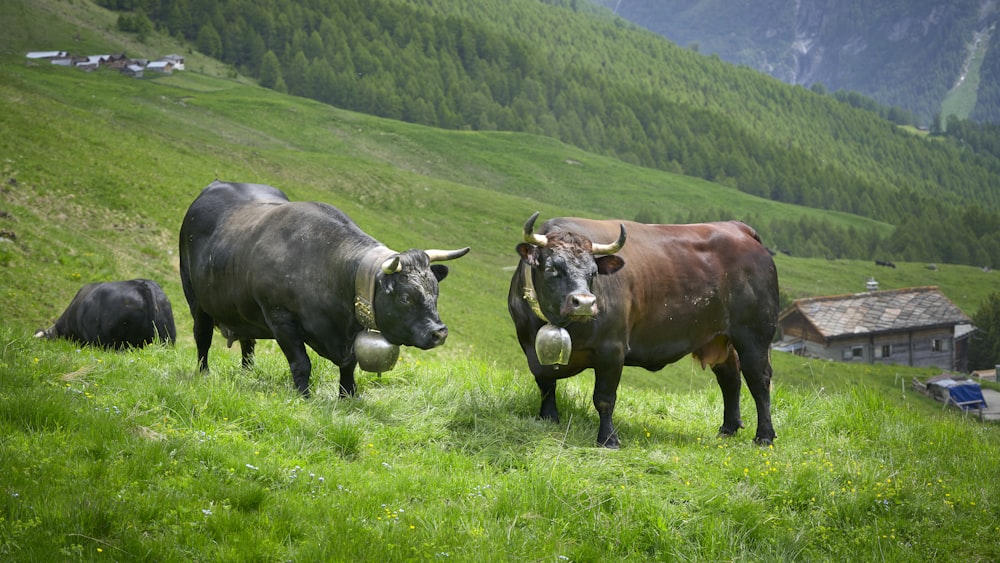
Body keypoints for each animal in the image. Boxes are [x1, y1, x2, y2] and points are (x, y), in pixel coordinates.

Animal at [179, 181, 468, 396]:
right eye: (406, 297)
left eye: (435, 292)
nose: (439, 333)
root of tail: (218, 185)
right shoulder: (280, 318)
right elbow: (301, 364)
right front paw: (303, 398)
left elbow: (349, 366)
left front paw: (348, 397)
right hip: (197, 301)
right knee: (202, 338)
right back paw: (203, 374)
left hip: (242, 312)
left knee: (247, 345)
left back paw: (247, 374)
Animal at [508, 213, 780, 450]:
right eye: (552, 269)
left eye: (593, 272)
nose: (584, 302)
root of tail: (738, 228)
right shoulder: (530, 347)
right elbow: (545, 385)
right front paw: (548, 418)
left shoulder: (612, 350)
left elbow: (604, 398)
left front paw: (608, 440)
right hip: (718, 338)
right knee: (730, 376)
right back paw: (728, 429)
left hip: (754, 336)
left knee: (759, 380)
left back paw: (764, 436)